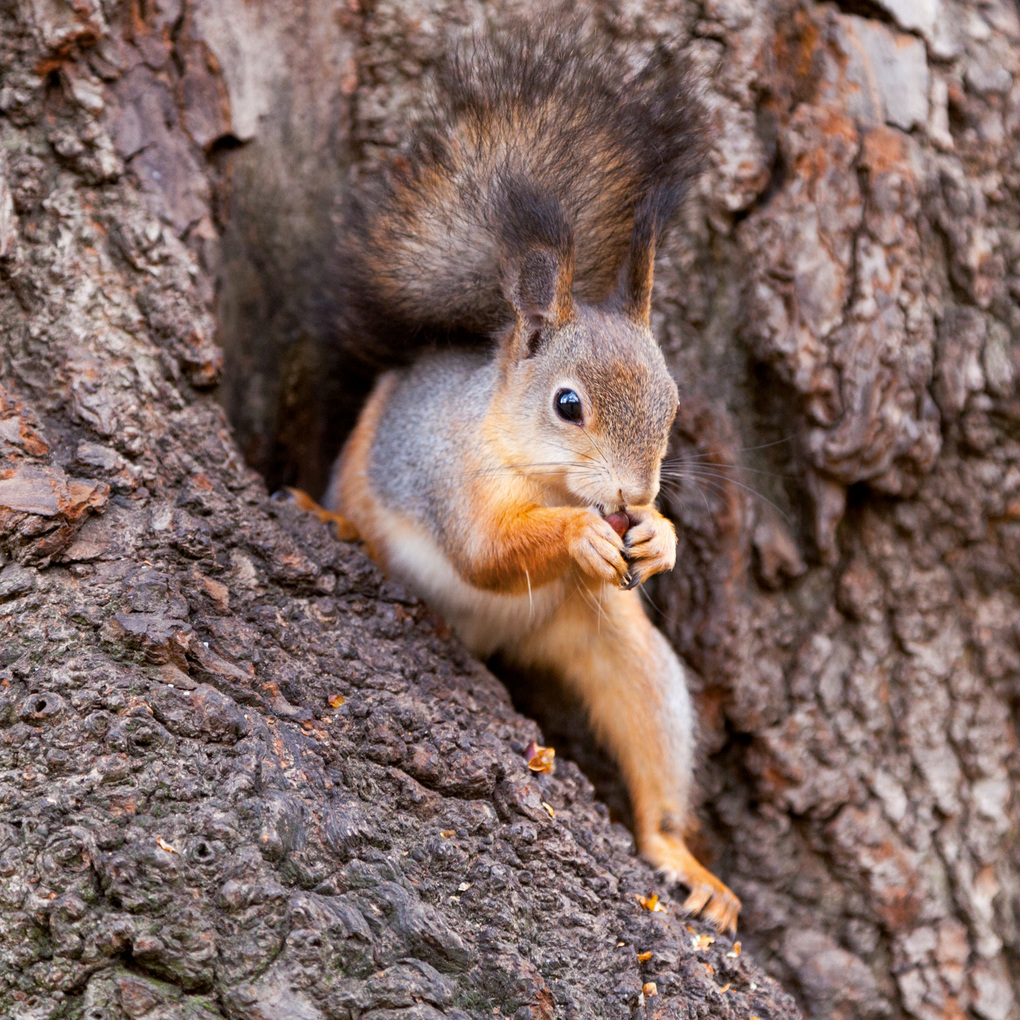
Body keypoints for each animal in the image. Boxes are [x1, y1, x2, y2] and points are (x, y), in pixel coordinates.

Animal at [295, 20, 740, 933]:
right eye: (568, 404)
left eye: (673, 400)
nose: (633, 498)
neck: (545, 477)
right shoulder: (447, 473)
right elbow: (483, 551)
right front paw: (579, 537)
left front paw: (661, 538)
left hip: (614, 646)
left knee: (652, 747)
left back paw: (686, 863)